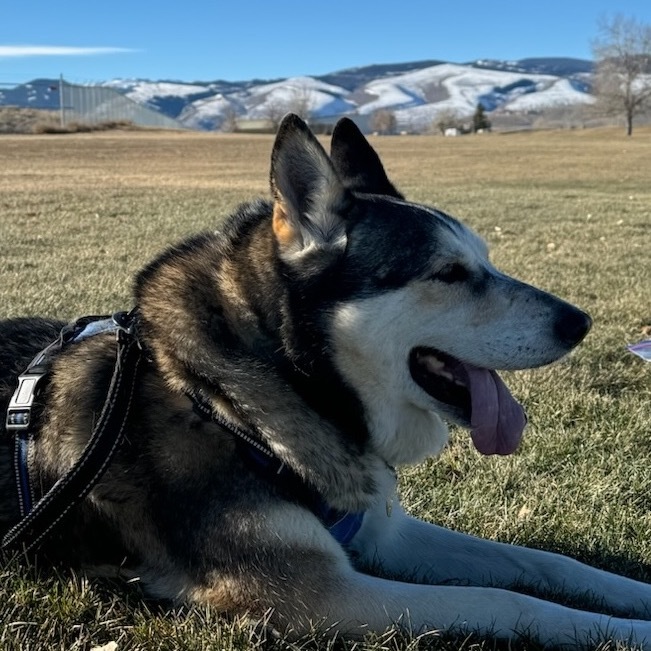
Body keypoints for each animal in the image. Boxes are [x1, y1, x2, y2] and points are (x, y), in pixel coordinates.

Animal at [1, 114, 651, 648]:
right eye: (448, 273)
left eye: (486, 260)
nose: (580, 322)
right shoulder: (314, 597)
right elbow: (510, 601)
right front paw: (627, 634)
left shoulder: (384, 533)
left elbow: (544, 563)